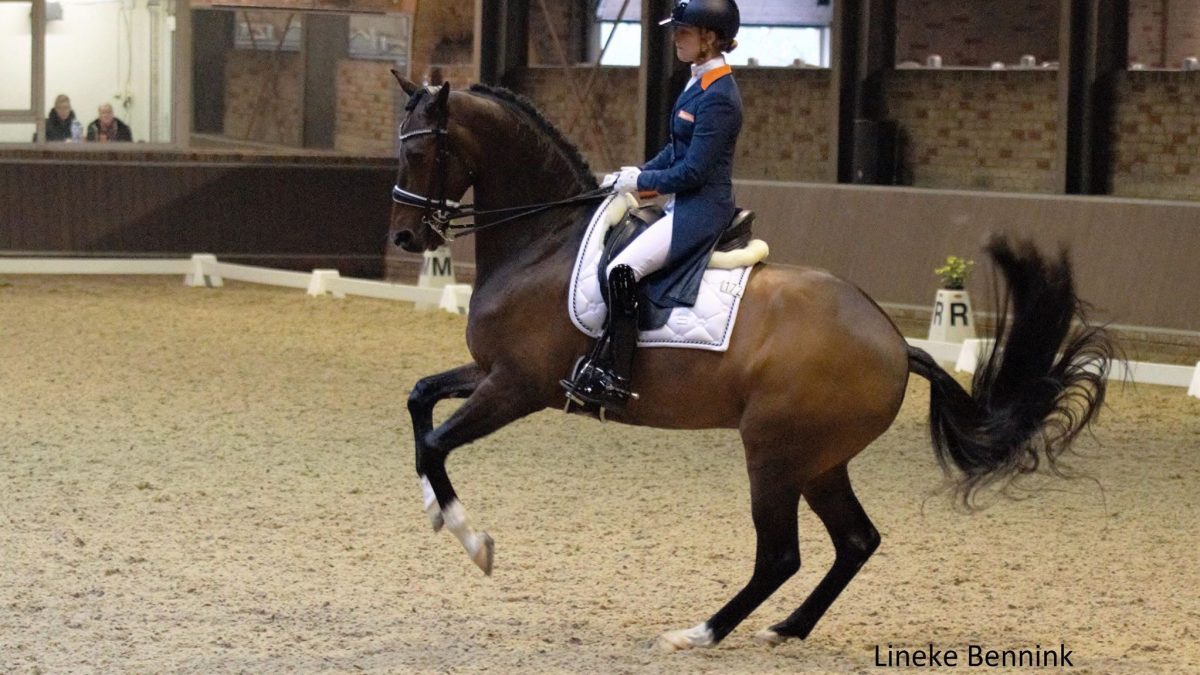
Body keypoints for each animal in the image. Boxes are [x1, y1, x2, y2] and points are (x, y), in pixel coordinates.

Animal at [388, 77, 1108, 648]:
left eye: (420, 150)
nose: (406, 236)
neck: (544, 242)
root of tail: (894, 342)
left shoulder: (518, 385)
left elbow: (437, 442)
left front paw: (473, 541)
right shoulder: (490, 374)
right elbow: (421, 400)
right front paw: (433, 508)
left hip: (773, 453)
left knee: (780, 554)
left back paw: (699, 632)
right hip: (819, 460)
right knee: (855, 541)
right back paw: (786, 628)